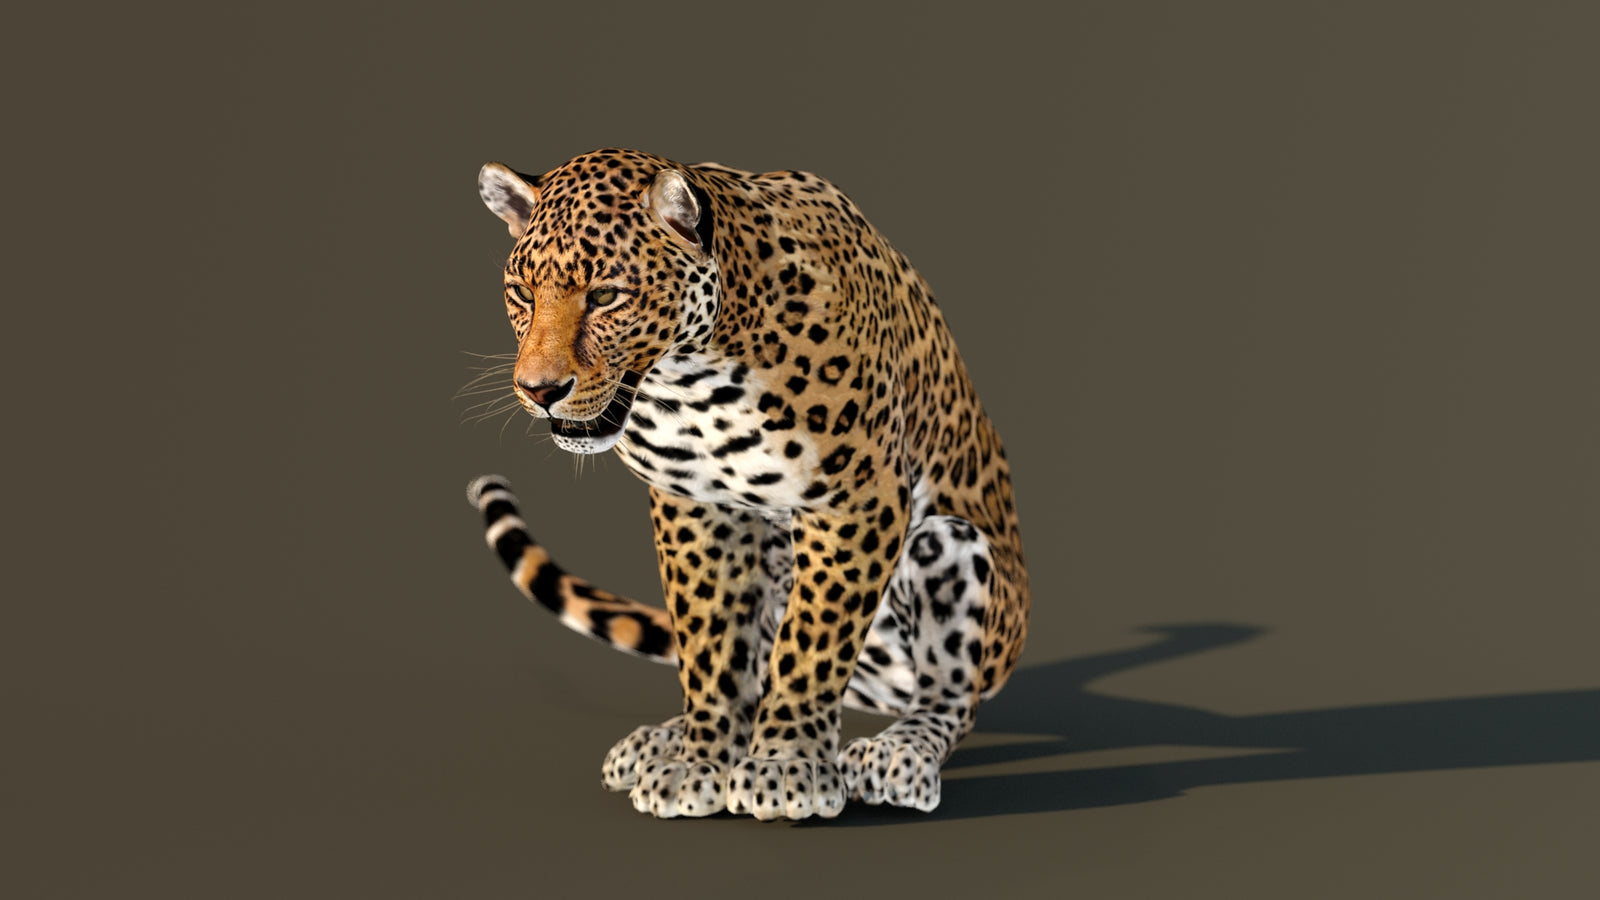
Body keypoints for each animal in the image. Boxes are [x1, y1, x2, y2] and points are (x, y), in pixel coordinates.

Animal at [464, 148, 1028, 820]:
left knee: (949, 695)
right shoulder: (696, 506)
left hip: (950, 547)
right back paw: (662, 741)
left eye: (605, 295)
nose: (539, 390)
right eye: (521, 293)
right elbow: (710, 642)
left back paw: (899, 753)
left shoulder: (858, 499)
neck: (693, 379)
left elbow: (812, 641)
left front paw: (786, 766)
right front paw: (700, 761)